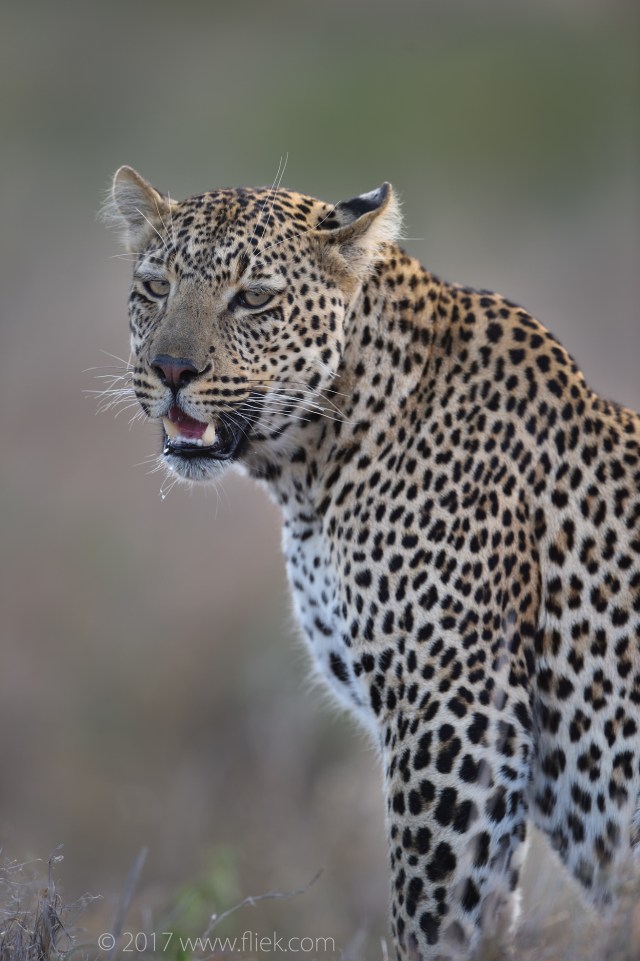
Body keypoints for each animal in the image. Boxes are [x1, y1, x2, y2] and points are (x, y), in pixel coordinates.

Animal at [103, 166, 640, 960]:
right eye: (155, 286)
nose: (171, 369)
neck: (308, 474)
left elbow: (430, 914)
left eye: (254, 298)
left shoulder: (456, 712)